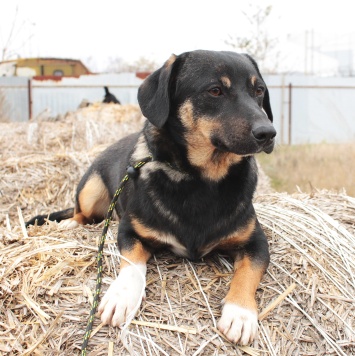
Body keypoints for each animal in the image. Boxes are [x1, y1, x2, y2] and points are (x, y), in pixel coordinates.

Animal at [27, 49, 278, 344]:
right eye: (215, 90)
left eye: (259, 91)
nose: (268, 133)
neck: (202, 181)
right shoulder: (129, 231)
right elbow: (132, 263)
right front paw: (122, 296)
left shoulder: (256, 242)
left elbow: (248, 272)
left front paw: (240, 313)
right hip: (90, 190)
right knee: (81, 213)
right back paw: (69, 224)